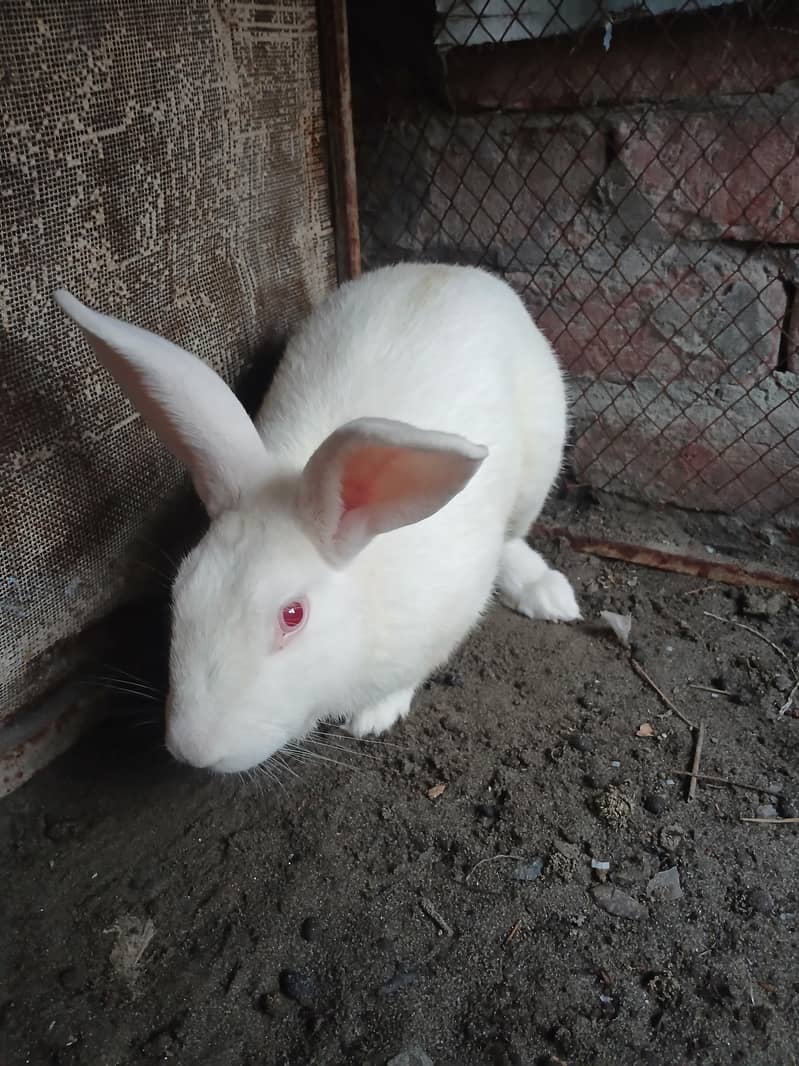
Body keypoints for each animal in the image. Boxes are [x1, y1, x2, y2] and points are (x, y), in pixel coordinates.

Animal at [55, 262, 580, 773]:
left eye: (293, 615)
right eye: (182, 589)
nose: (194, 752)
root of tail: (453, 270)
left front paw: (374, 716)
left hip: (540, 462)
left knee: (515, 536)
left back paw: (545, 592)